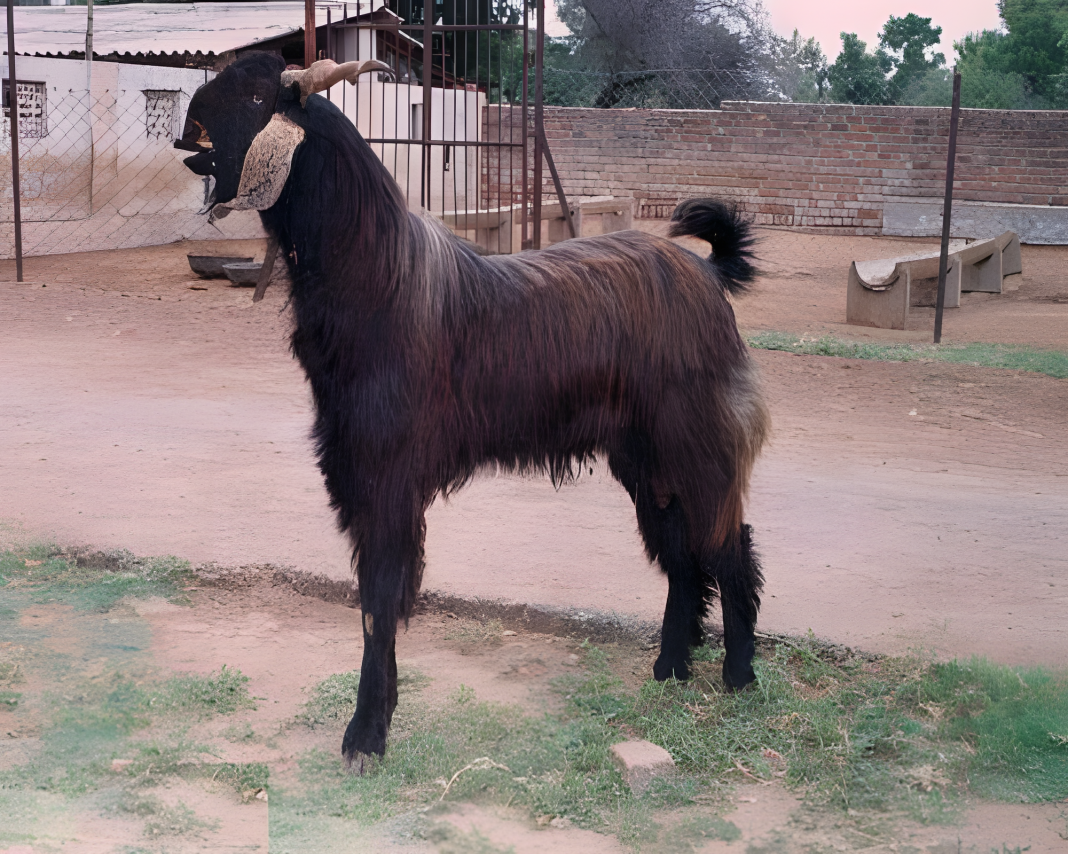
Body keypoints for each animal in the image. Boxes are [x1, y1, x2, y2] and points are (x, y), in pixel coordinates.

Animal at [177, 52, 770, 772]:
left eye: (258, 95)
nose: (190, 124)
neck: (378, 278)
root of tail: (707, 276)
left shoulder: (388, 476)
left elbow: (380, 600)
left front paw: (366, 733)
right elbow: (375, 599)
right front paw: (376, 721)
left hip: (696, 445)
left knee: (728, 546)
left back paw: (739, 674)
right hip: (645, 460)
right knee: (684, 556)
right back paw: (670, 668)